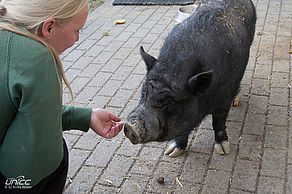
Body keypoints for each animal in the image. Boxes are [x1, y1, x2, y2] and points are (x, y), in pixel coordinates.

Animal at [124, 0, 256, 157]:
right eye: (144, 91)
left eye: (170, 101)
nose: (130, 126)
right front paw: (171, 152)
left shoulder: (224, 97)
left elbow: (218, 122)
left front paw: (223, 150)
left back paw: (235, 102)